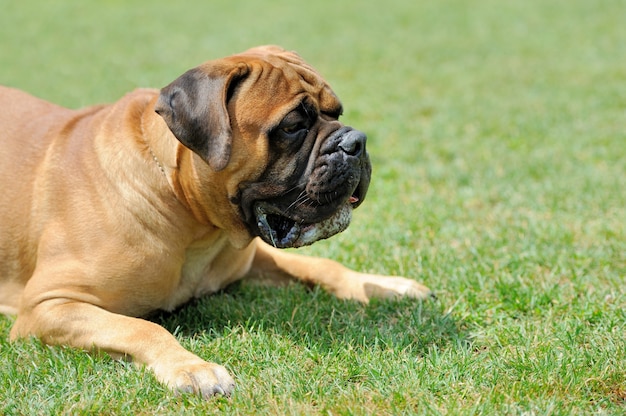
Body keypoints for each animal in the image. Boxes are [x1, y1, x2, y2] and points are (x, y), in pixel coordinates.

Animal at [0, 46, 428, 400]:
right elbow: (141, 327)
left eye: (336, 113)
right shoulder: (48, 306)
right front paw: (193, 368)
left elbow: (322, 265)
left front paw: (383, 286)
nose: (356, 142)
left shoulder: (251, 258)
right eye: (292, 126)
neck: (191, 217)